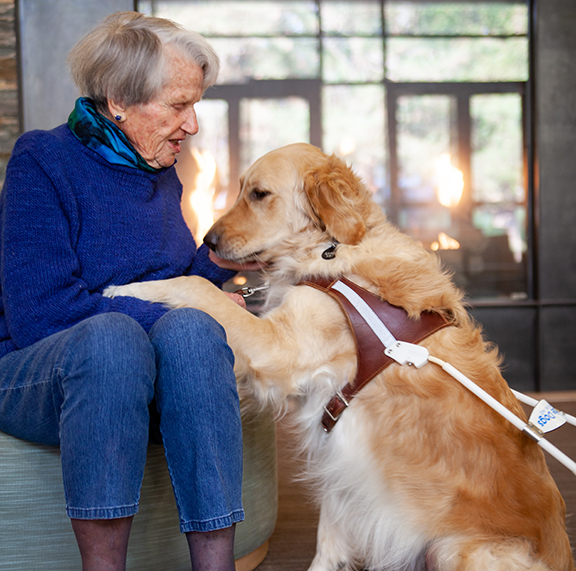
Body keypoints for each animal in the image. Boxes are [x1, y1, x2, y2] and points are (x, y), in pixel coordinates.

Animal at [106, 143, 572, 571]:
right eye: (241, 190)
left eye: (259, 194)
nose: (209, 241)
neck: (331, 248)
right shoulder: (337, 456)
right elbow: (329, 536)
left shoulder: (280, 345)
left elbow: (195, 285)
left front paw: (129, 288)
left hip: (458, 550)